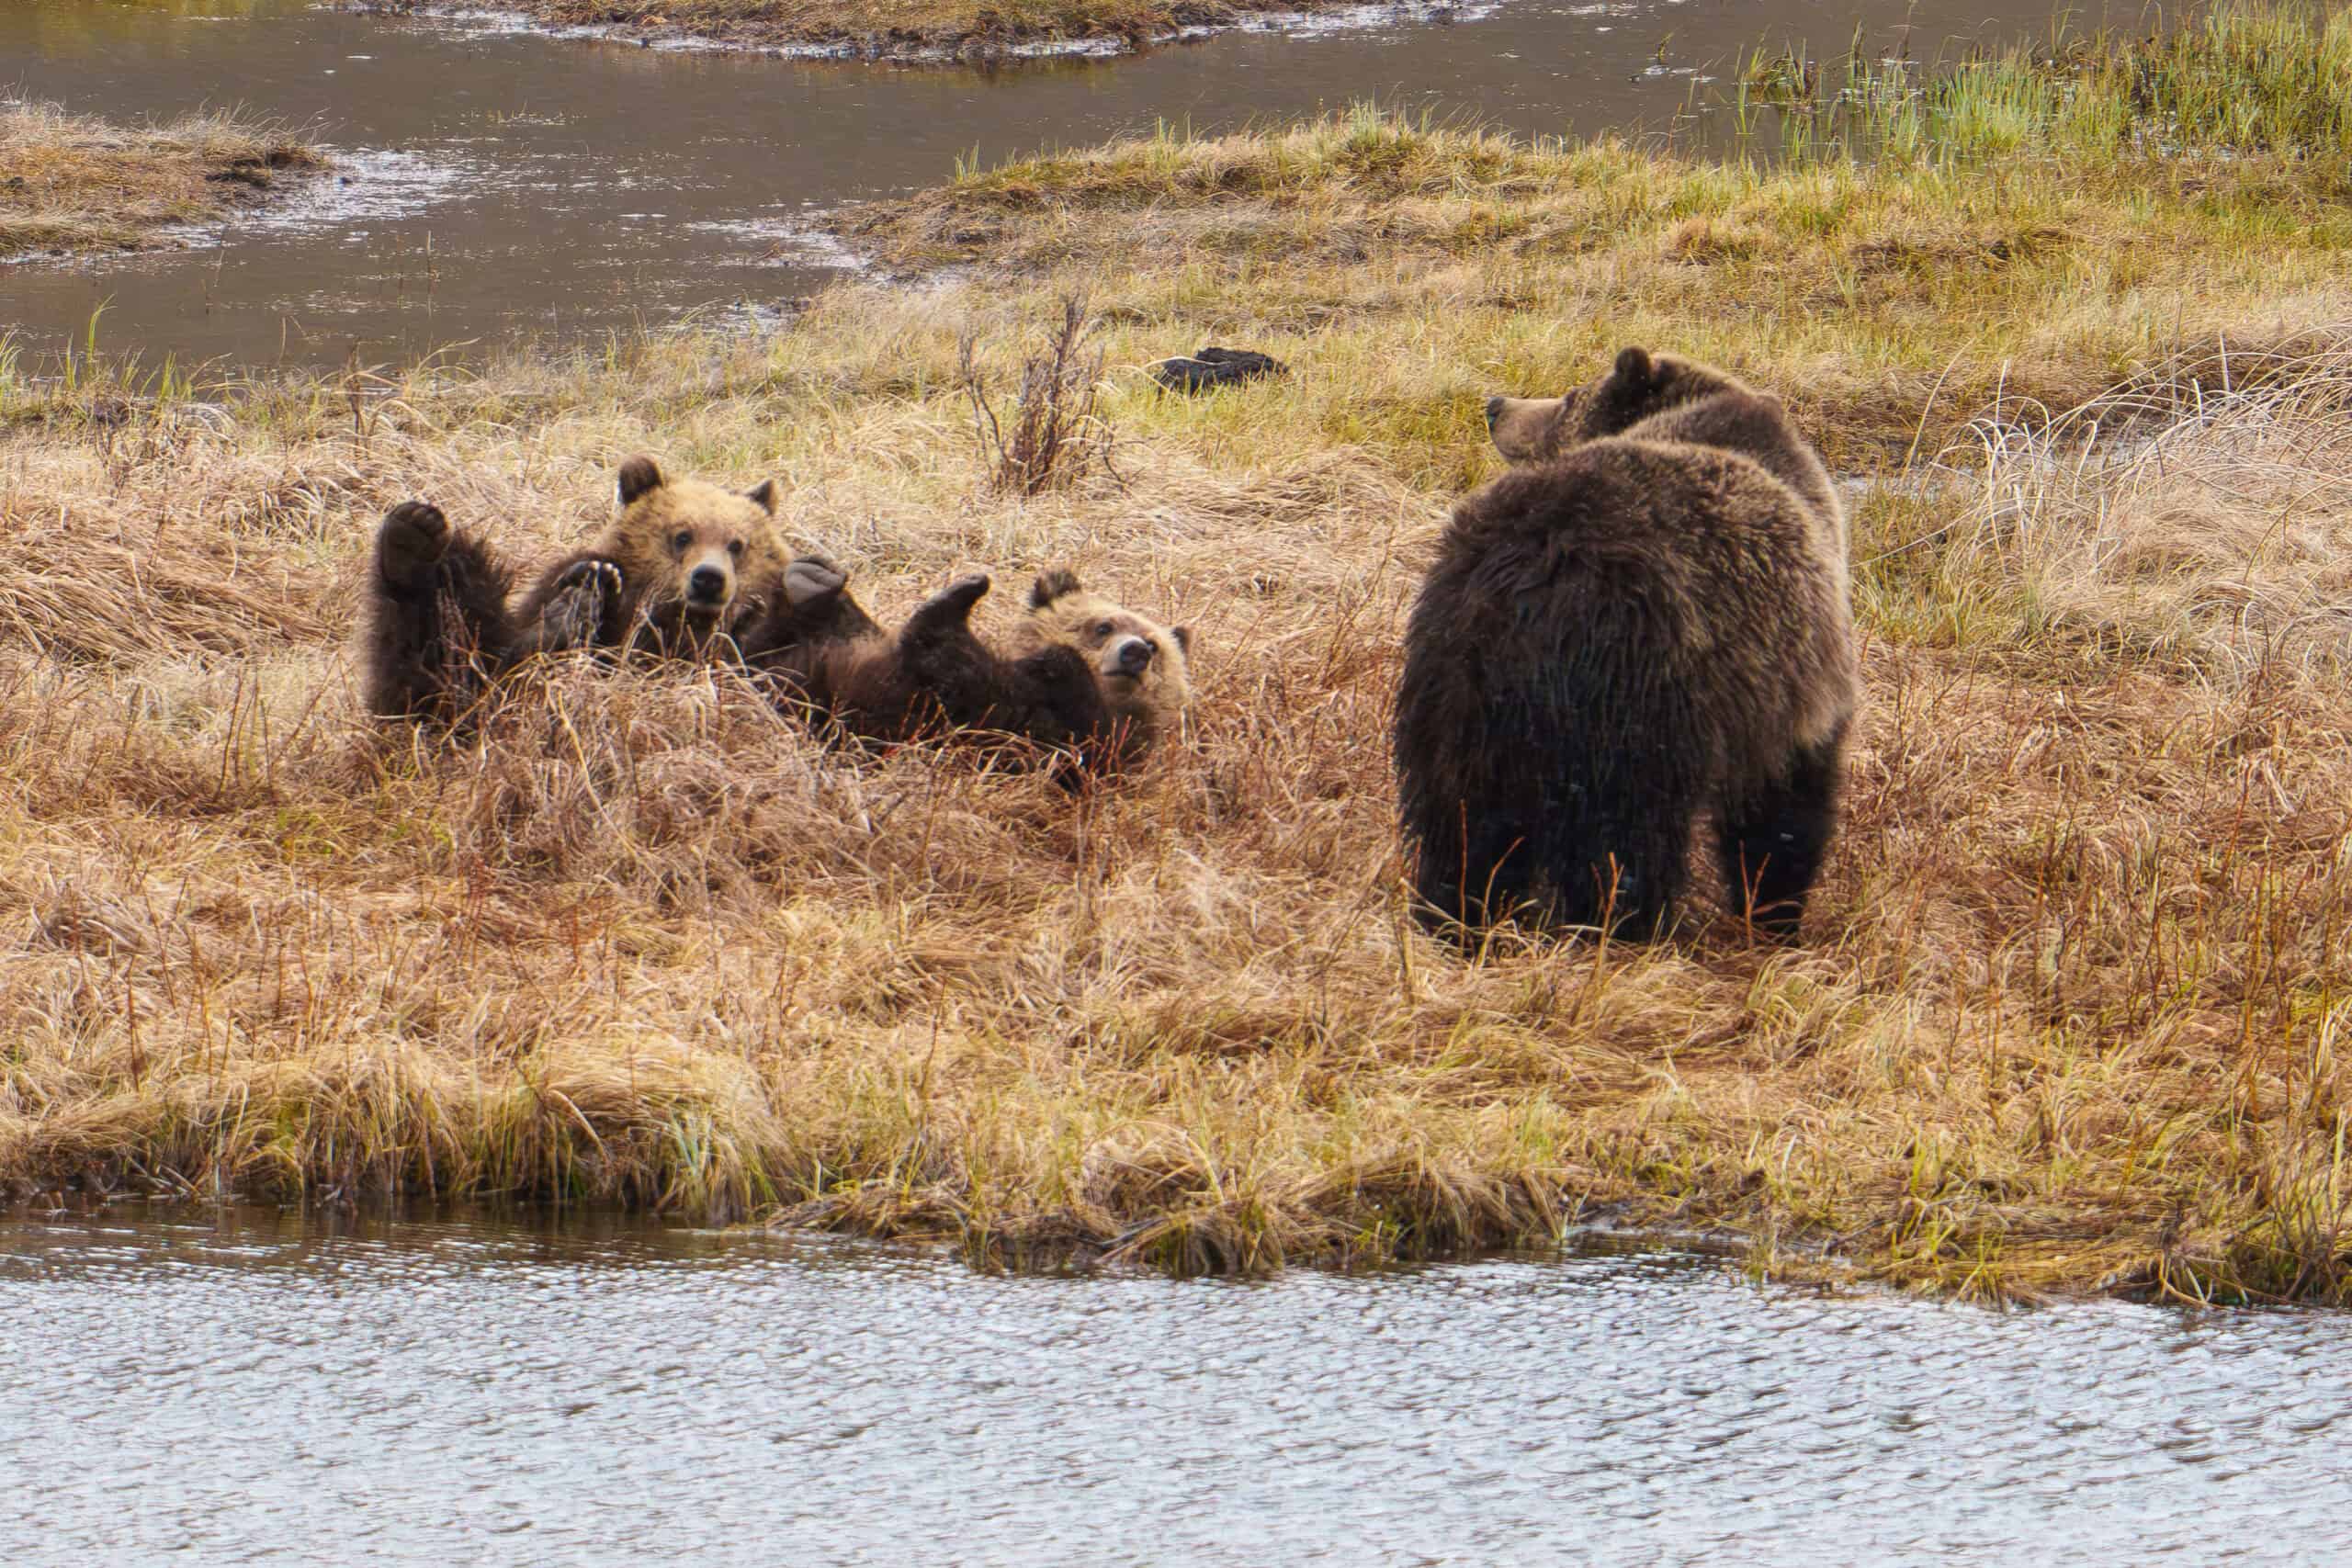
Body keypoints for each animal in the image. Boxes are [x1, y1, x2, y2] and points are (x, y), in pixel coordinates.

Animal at [364, 455, 786, 726]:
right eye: (682, 535)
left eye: (737, 544)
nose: (709, 578)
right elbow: (481, 669)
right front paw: (570, 607)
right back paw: (413, 538)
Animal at [741, 560, 1192, 779]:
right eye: (1103, 626)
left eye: (1155, 645)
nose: (1135, 652)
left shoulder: (1087, 744)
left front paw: (954, 601)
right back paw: (812, 581)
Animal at [1394, 346, 1857, 941]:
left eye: (1569, 396)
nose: (1496, 405)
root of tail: (1533, 571)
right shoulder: (1792, 687)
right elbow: (1783, 814)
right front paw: (1774, 912)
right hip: (1635, 705)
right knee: (1623, 847)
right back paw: (1623, 928)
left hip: (1454, 682)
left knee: (1462, 826)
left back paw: (1457, 917)